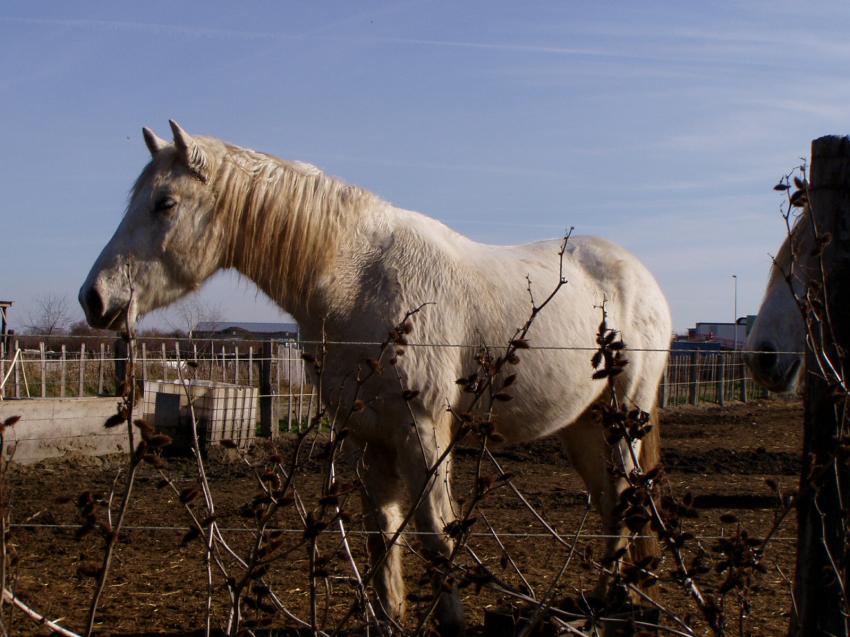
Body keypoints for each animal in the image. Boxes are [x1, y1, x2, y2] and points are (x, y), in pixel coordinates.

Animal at [79, 121, 672, 634]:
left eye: (165, 203)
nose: (95, 298)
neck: (356, 280)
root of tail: (640, 277)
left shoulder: (423, 434)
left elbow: (436, 538)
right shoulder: (369, 439)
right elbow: (381, 537)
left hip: (623, 416)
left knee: (626, 497)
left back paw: (613, 607)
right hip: (583, 425)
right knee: (610, 502)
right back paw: (603, 602)